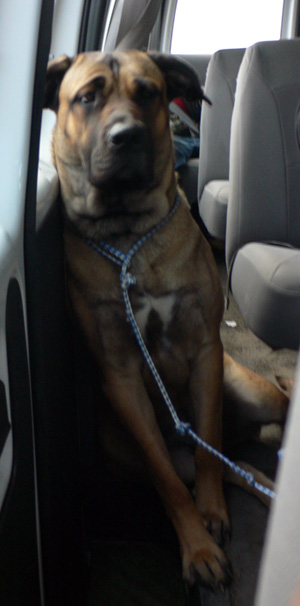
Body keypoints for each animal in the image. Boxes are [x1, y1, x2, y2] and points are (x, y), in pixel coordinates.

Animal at [43, 50, 290, 592]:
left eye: (149, 93)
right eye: (86, 97)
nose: (127, 136)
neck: (129, 235)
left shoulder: (206, 353)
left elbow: (207, 446)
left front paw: (212, 515)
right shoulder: (121, 376)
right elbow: (168, 478)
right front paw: (198, 546)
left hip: (256, 393)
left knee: (242, 442)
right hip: (121, 447)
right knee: (229, 464)